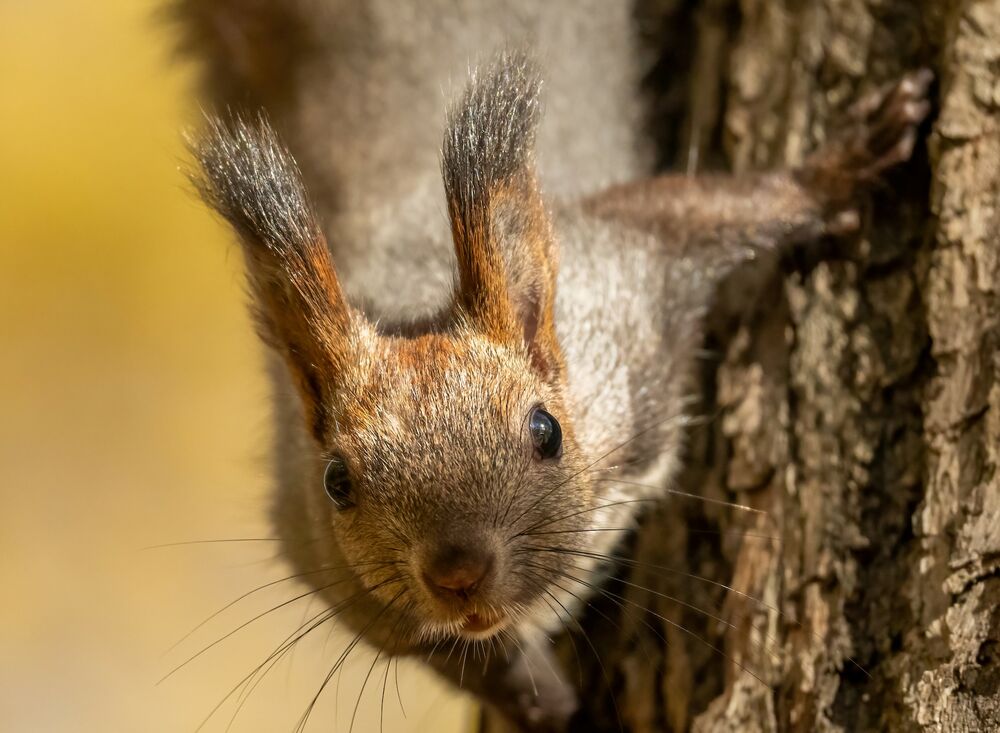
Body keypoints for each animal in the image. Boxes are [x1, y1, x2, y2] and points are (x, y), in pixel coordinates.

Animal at [174, 2, 932, 730]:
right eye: (337, 481)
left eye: (547, 432)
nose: (458, 573)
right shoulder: (324, 556)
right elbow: (458, 654)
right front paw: (543, 700)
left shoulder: (626, 274)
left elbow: (706, 208)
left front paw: (835, 170)